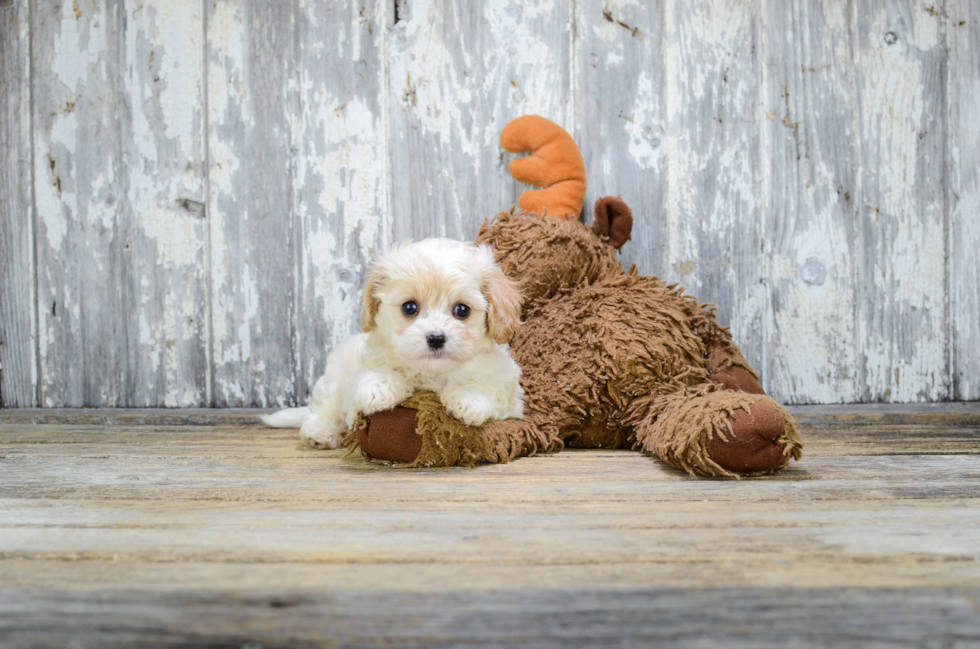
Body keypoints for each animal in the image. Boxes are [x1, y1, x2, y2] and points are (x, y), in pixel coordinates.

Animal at [258, 235, 520, 448]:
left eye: (462, 310)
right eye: (409, 307)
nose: (436, 338)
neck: (431, 373)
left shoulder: (509, 395)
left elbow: (485, 386)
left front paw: (468, 398)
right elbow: (377, 373)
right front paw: (378, 388)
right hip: (334, 378)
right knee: (325, 409)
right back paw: (319, 432)